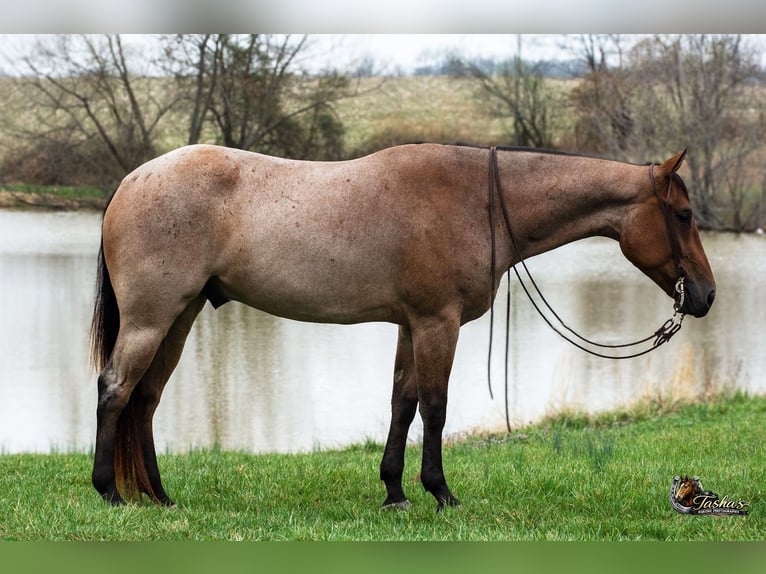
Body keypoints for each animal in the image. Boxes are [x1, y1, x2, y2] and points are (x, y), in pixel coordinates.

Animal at [90, 143, 716, 510]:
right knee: (115, 391)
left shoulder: (411, 326)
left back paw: (160, 496)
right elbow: (435, 408)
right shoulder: (438, 323)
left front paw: (393, 491)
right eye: (683, 216)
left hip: (180, 317)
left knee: (144, 400)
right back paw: (110, 493)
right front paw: (440, 493)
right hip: (152, 319)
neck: (478, 199)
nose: (707, 295)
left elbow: (402, 403)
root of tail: (130, 181)